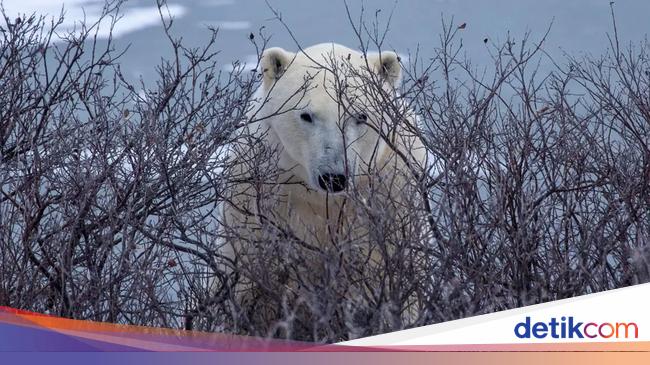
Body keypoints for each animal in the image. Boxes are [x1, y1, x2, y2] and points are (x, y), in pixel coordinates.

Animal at [220, 42, 428, 332]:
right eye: (306, 115)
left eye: (361, 115)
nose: (333, 177)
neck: (322, 199)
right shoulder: (258, 200)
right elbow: (248, 281)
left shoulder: (392, 195)